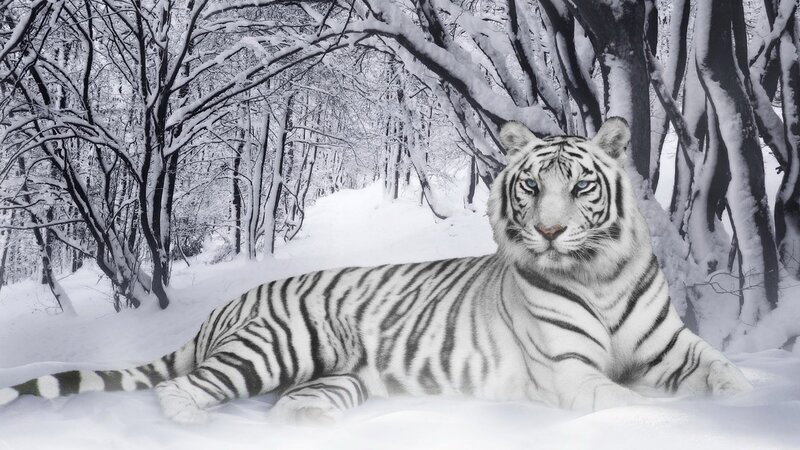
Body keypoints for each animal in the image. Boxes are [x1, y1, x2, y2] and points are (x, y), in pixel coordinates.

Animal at [0, 117, 752, 424]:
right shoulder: (570, 372)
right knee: (180, 389)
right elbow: (632, 403)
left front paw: (748, 407)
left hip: (334, 378)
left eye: (582, 186)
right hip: (276, 346)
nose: (548, 231)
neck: (598, 274)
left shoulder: (674, 348)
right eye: (532, 186)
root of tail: (227, 305)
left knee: (290, 405)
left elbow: (727, 376)